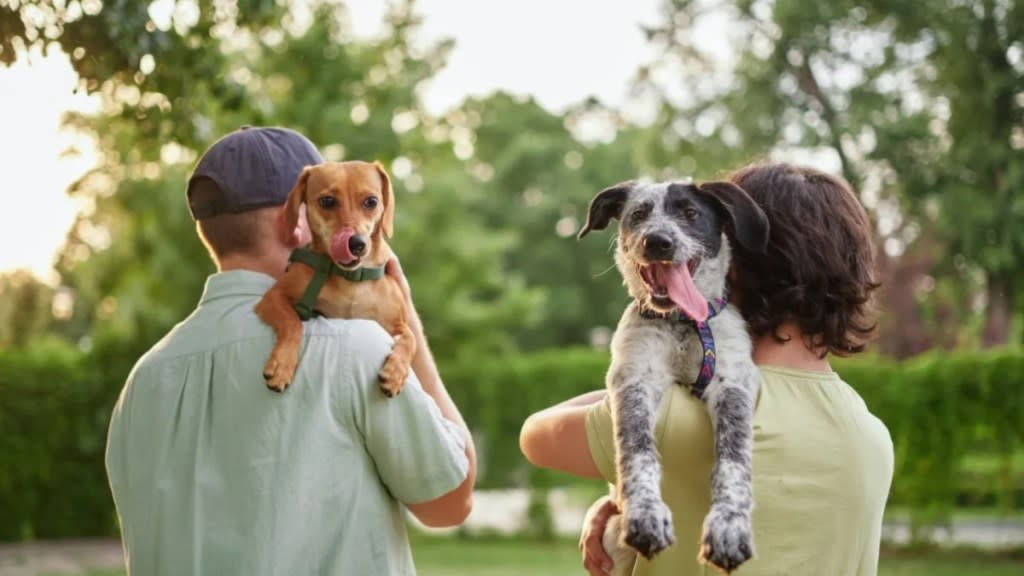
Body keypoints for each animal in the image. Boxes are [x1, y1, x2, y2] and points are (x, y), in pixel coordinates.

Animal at [253, 159, 413, 393]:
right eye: (327, 201)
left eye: (371, 201)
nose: (356, 243)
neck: (351, 279)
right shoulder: (273, 297)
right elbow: (292, 322)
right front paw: (282, 363)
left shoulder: (396, 323)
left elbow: (411, 340)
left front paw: (395, 372)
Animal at [581, 178, 765, 569]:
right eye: (639, 213)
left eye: (691, 213)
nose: (658, 241)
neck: (682, 323)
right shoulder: (635, 380)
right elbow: (637, 451)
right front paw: (646, 516)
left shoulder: (732, 383)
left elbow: (734, 460)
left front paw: (729, 528)